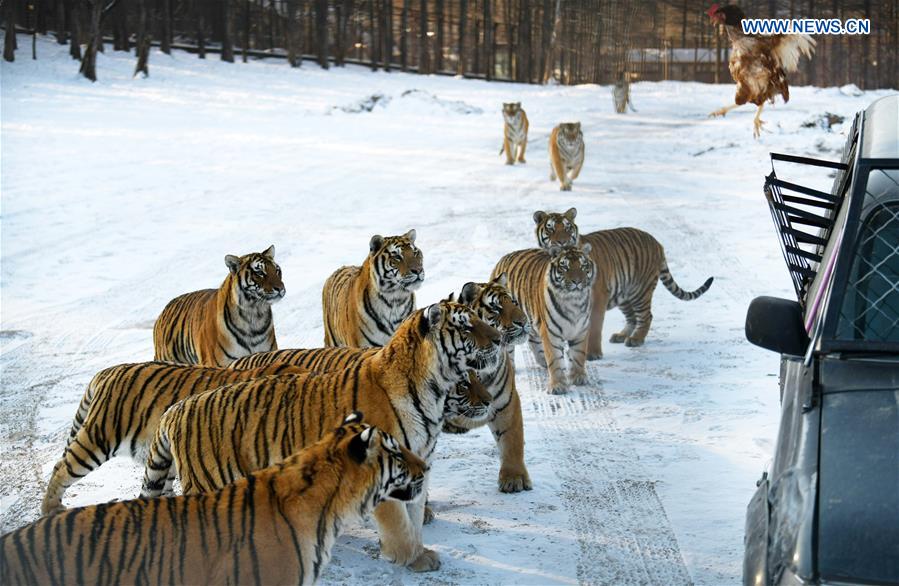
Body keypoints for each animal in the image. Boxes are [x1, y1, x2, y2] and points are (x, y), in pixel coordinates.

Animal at [141, 299, 501, 573]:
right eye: (466, 326)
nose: (499, 338)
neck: (433, 392)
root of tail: (177, 408)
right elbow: (399, 522)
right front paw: (410, 559)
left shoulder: (417, 464)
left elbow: (412, 515)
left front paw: (420, 553)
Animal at [443, 273, 533, 492]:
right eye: (496, 309)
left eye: (514, 303)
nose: (524, 322)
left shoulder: (506, 402)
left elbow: (512, 440)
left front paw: (514, 478)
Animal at [492, 243, 596, 394]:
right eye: (565, 267)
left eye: (583, 266)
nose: (577, 281)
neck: (573, 301)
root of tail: (503, 259)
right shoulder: (551, 332)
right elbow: (555, 359)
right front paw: (557, 386)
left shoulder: (581, 330)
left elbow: (578, 355)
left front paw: (579, 378)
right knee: (508, 348)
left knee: (533, 339)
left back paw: (542, 361)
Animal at [533, 208, 714, 358]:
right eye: (550, 228)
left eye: (567, 228)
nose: (562, 242)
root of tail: (657, 243)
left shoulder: (598, 298)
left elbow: (594, 328)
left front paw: (593, 354)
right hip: (624, 293)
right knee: (632, 317)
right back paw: (622, 335)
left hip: (640, 291)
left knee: (646, 316)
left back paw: (636, 339)